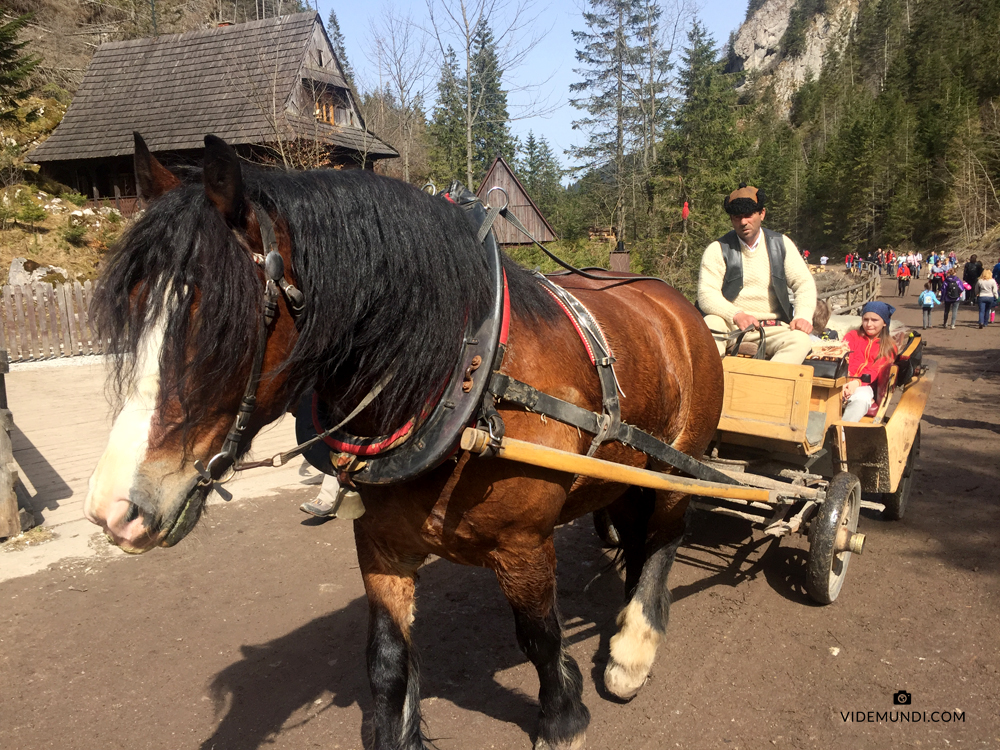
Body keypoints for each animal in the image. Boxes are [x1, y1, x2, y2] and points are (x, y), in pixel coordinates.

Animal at [86, 137, 724, 750]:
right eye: (134, 310)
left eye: (224, 325)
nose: (114, 509)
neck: (465, 381)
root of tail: (670, 301)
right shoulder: (383, 542)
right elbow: (388, 662)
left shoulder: (524, 546)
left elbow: (540, 637)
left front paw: (563, 718)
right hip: (630, 468)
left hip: (681, 462)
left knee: (665, 537)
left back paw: (633, 647)